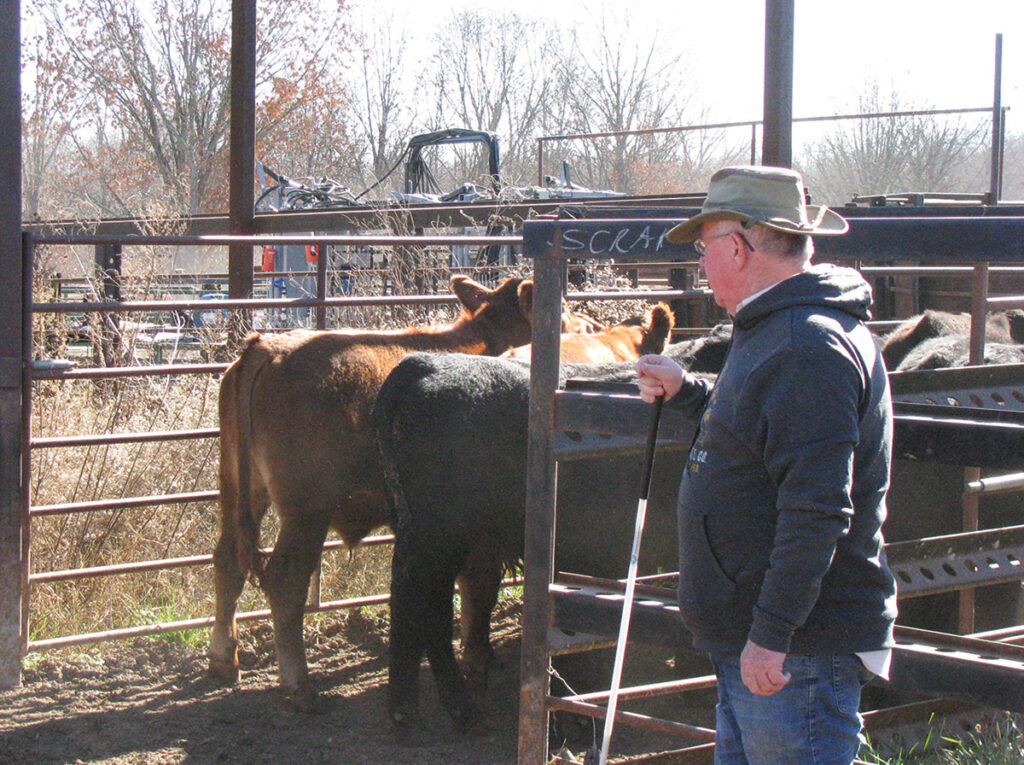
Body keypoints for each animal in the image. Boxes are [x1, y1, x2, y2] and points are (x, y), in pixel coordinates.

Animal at [207, 274, 585, 712]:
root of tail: (266, 348)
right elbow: (478, 588)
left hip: (240, 488)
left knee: (226, 561)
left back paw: (223, 660)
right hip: (307, 508)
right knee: (286, 580)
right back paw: (299, 685)